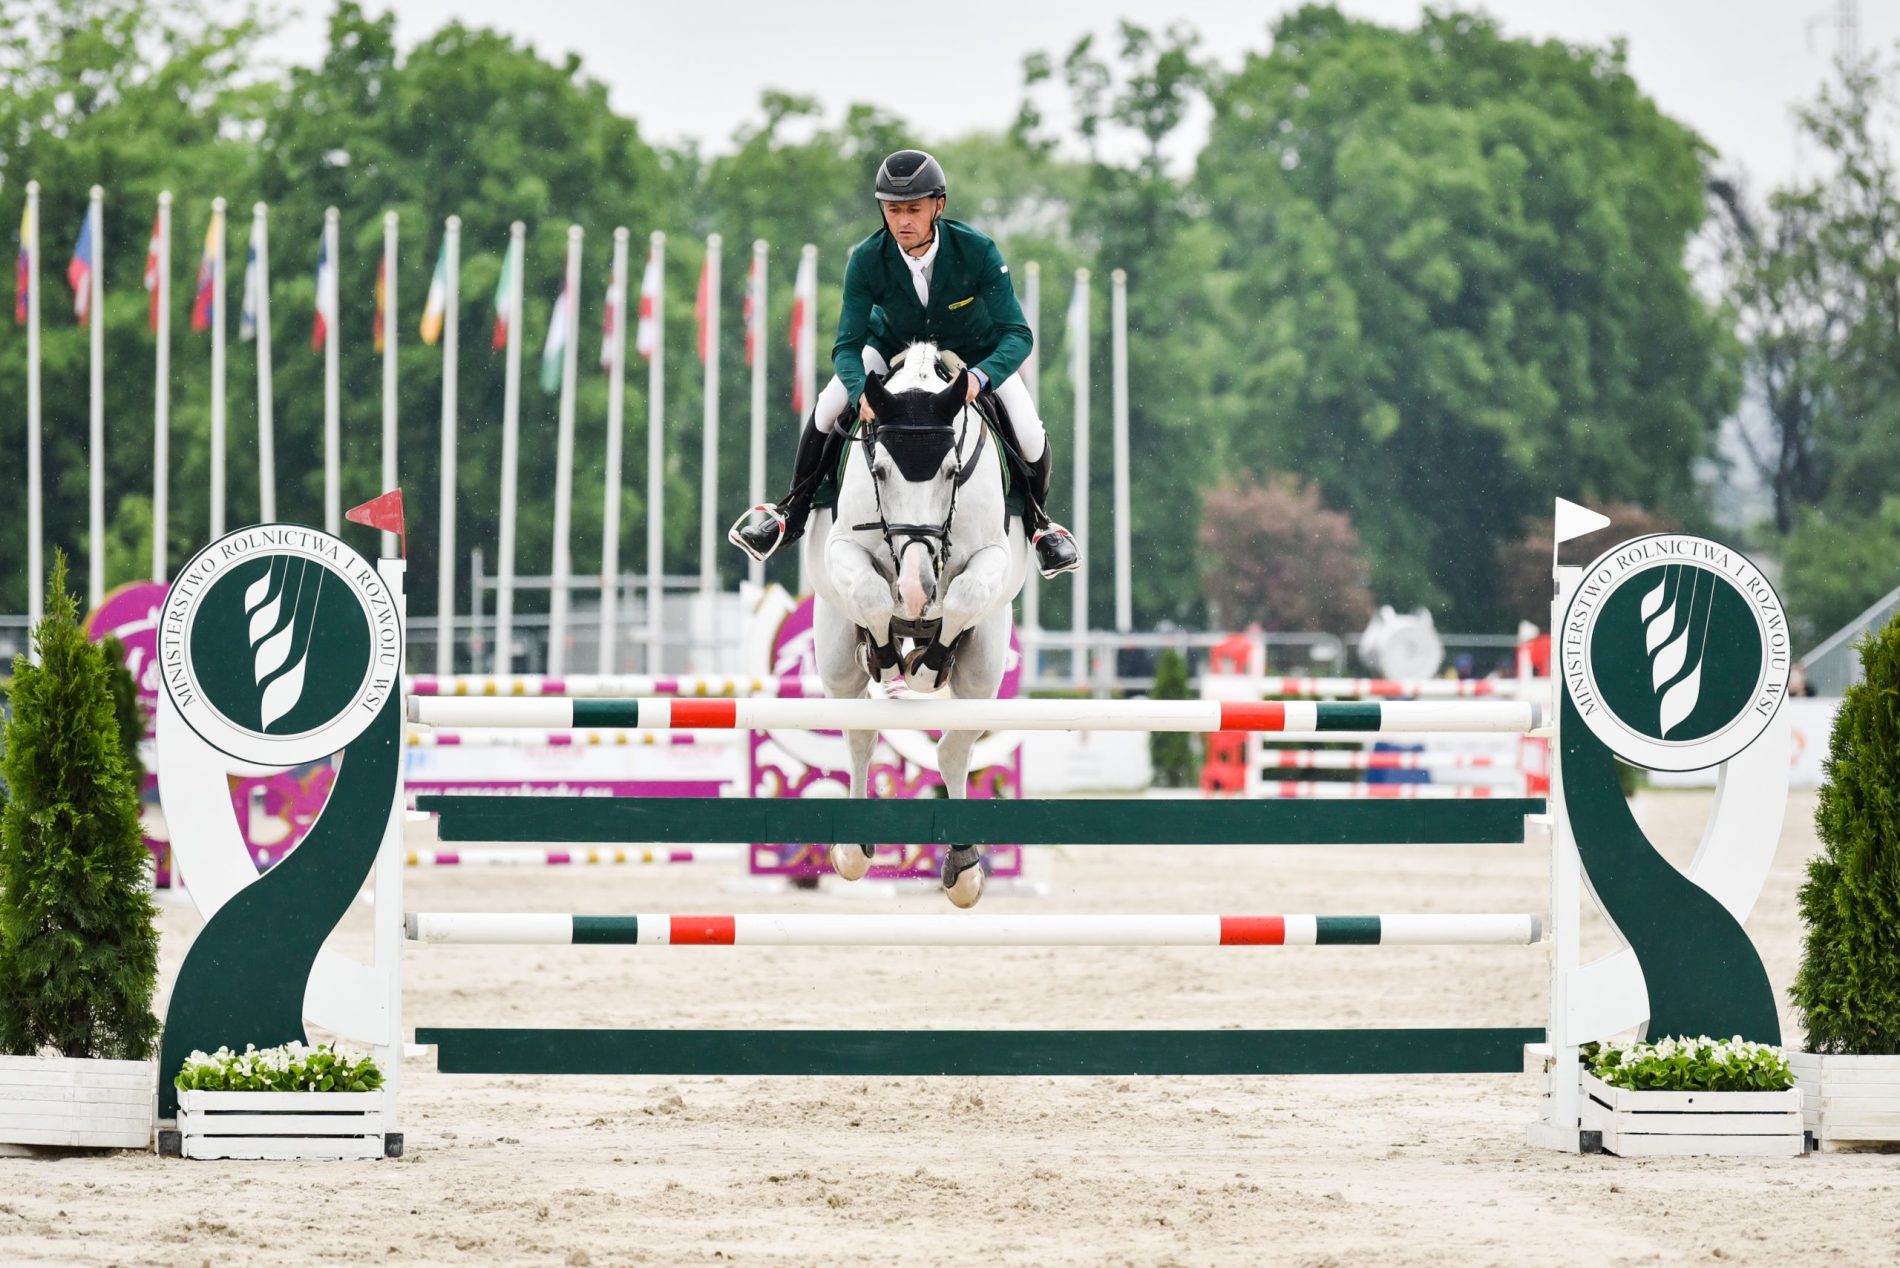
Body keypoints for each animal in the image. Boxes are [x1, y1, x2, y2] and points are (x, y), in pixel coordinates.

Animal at [801, 342, 1030, 907]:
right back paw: (852, 849)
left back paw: (964, 866)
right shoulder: (845, 550)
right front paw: (886, 655)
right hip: (833, 654)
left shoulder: (991, 559)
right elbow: (870, 595)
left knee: (953, 749)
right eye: (880, 470)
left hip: (986, 664)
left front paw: (926, 668)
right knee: (860, 733)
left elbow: (965, 595)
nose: (916, 587)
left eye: (951, 471)